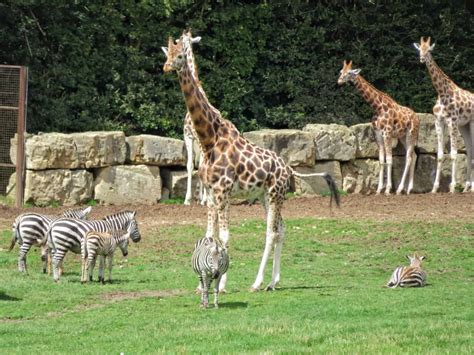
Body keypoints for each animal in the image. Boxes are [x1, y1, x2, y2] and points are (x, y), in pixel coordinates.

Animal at [161, 30, 338, 292]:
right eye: (168, 54)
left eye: (181, 54)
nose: (166, 67)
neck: (209, 138)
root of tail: (289, 169)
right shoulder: (213, 194)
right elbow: (209, 235)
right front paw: (202, 284)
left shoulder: (223, 192)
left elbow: (224, 237)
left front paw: (221, 284)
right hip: (266, 196)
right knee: (281, 228)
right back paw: (273, 281)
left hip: (275, 194)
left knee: (271, 232)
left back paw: (257, 282)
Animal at [336, 60, 418, 196]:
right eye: (341, 72)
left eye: (349, 73)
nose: (339, 82)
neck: (377, 107)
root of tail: (418, 118)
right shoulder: (378, 134)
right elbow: (381, 160)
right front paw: (379, 189)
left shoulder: (387, 133)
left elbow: (389, 159)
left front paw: (388, 189)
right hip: (402, 137)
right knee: (414, 156)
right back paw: (409, 189)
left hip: (411, 134)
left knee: (409, 157)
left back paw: (400, 189)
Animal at [412, 37, 472, 193]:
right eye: (419, 49)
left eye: (429, 50)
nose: (422, 59)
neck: (442, 92)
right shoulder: (439, 121)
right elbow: (439, 155)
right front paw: (434, 188)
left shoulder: (452, 121)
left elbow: (453, 153)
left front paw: (452, 187)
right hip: (464, 126)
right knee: (470, 150)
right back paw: (467, 187)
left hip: (471, 124)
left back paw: (470, 187)